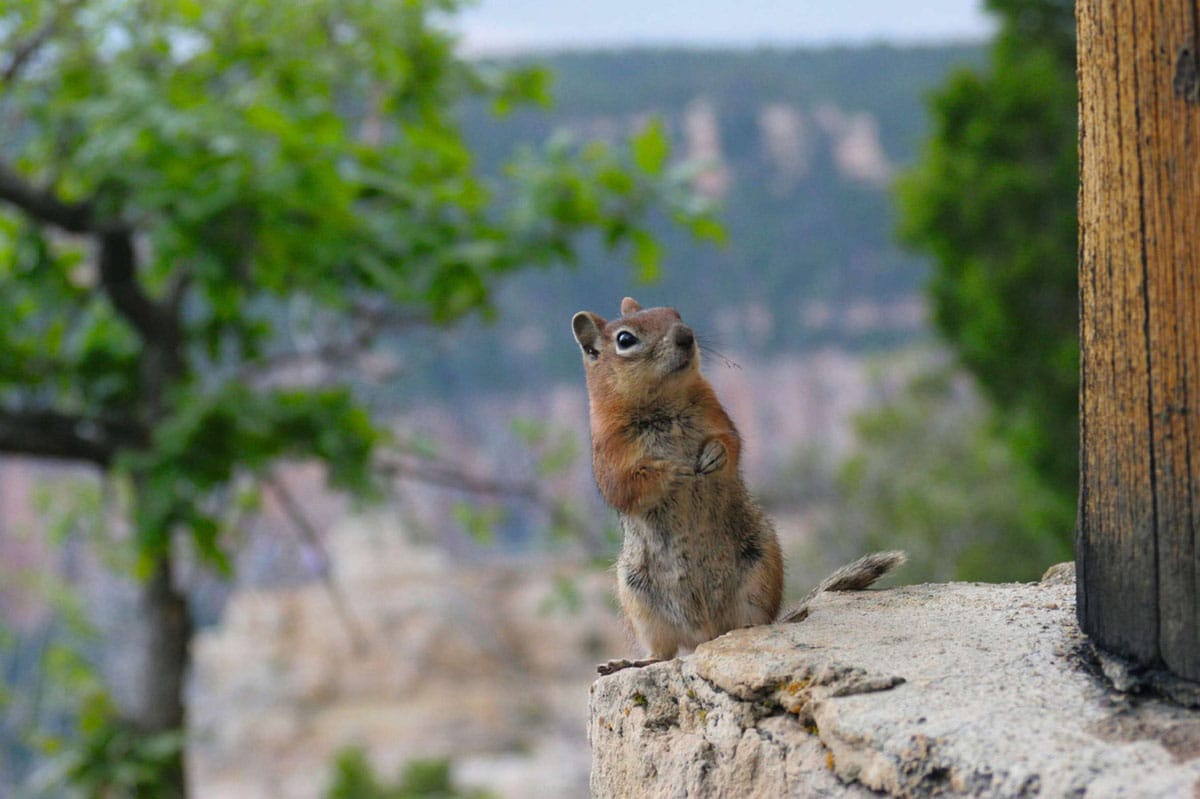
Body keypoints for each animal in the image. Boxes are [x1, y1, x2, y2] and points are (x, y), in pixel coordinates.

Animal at [568, 297, 902, 671]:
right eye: (625, 340)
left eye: (675, 314)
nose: (685, 335)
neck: (662, 403)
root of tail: (706, 633)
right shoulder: (609, 453)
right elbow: (624, 486)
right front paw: (673, 470)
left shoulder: (718, 415)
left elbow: (732, 443)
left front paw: (713, 455)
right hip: (638, 597)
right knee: (663, 652)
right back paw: (631, 662)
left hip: (760, 566)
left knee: (752, 623)